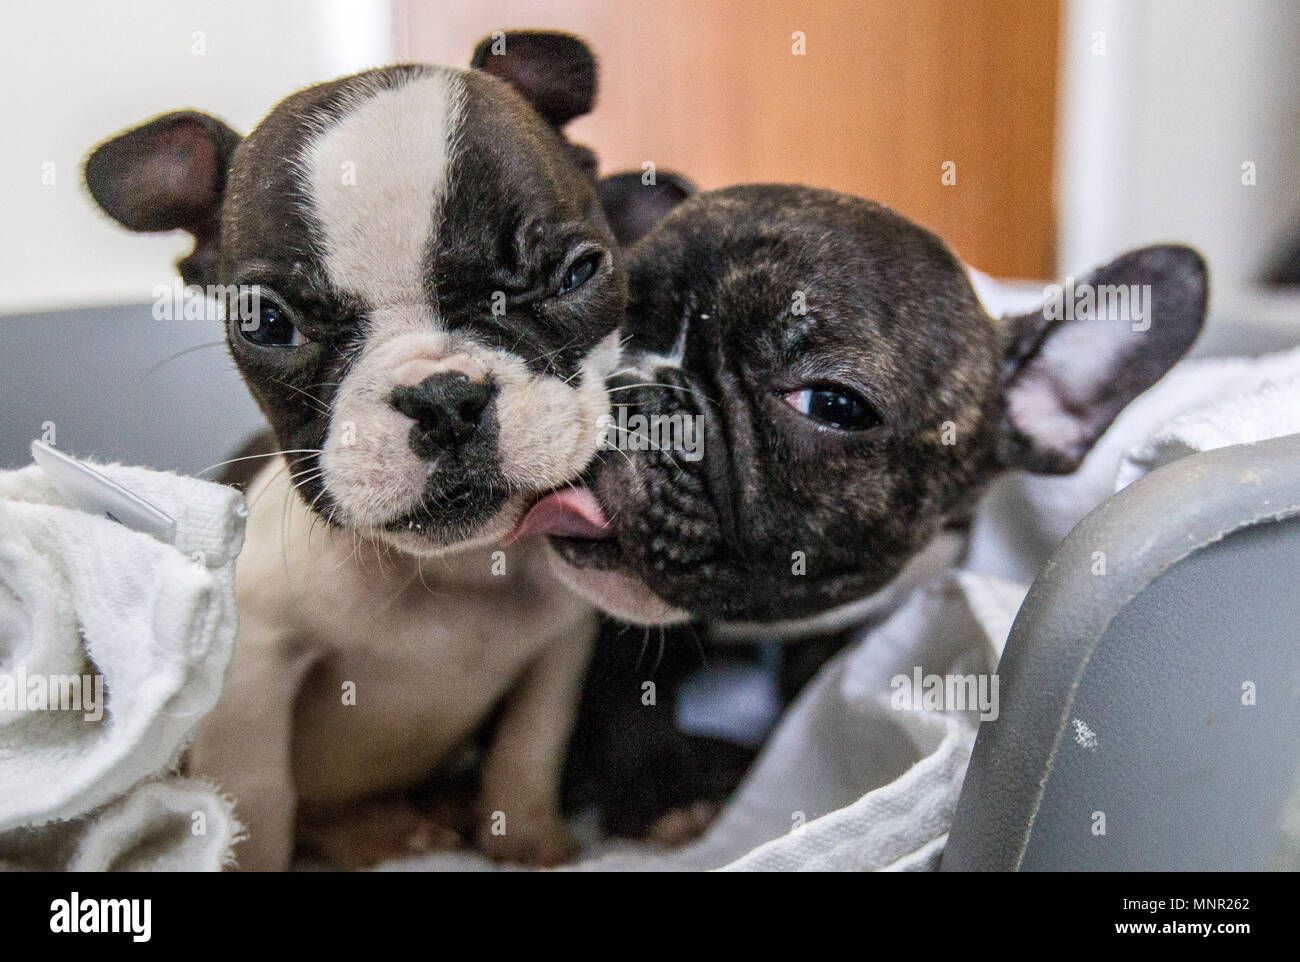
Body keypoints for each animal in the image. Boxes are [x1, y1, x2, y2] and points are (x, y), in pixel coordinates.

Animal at [83, 32, 626, 873]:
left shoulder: (558, 650)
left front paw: (533, 844)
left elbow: (528, 750)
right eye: (268, 323)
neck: (451, 572)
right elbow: (257, 801)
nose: (444, 397)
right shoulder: (254, 670)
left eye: (577, 272)